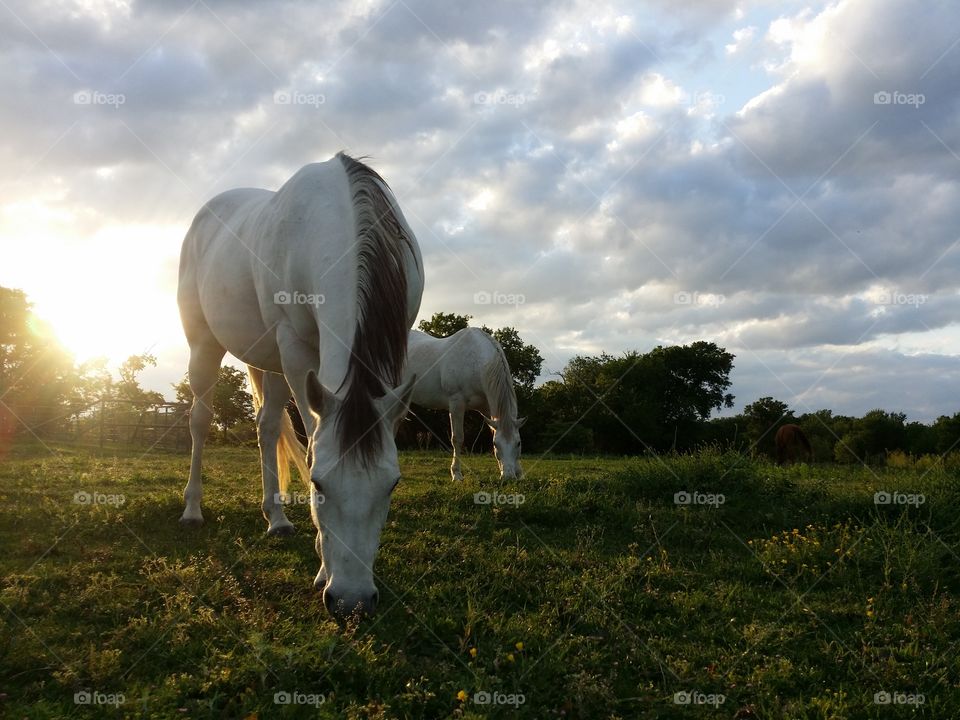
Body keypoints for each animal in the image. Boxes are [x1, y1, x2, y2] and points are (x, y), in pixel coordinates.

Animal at [177, 153, 424, 620]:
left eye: (393, 485)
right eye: (318, 485)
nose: (352, 603)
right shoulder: (293, 347)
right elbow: (312, 437)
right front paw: (323, 569)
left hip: (267, 359)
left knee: (267, 426)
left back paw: (276, 518)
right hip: (205, 345)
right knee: (199, 420)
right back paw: (192, 509)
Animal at [404, 330, 528, 480]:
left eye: (519, 443)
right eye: (495, 444)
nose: (509, 477)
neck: (474, 361)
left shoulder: (488, 410)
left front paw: (519, 473)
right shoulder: (456, 403)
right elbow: (457, 438)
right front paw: (456, 474)